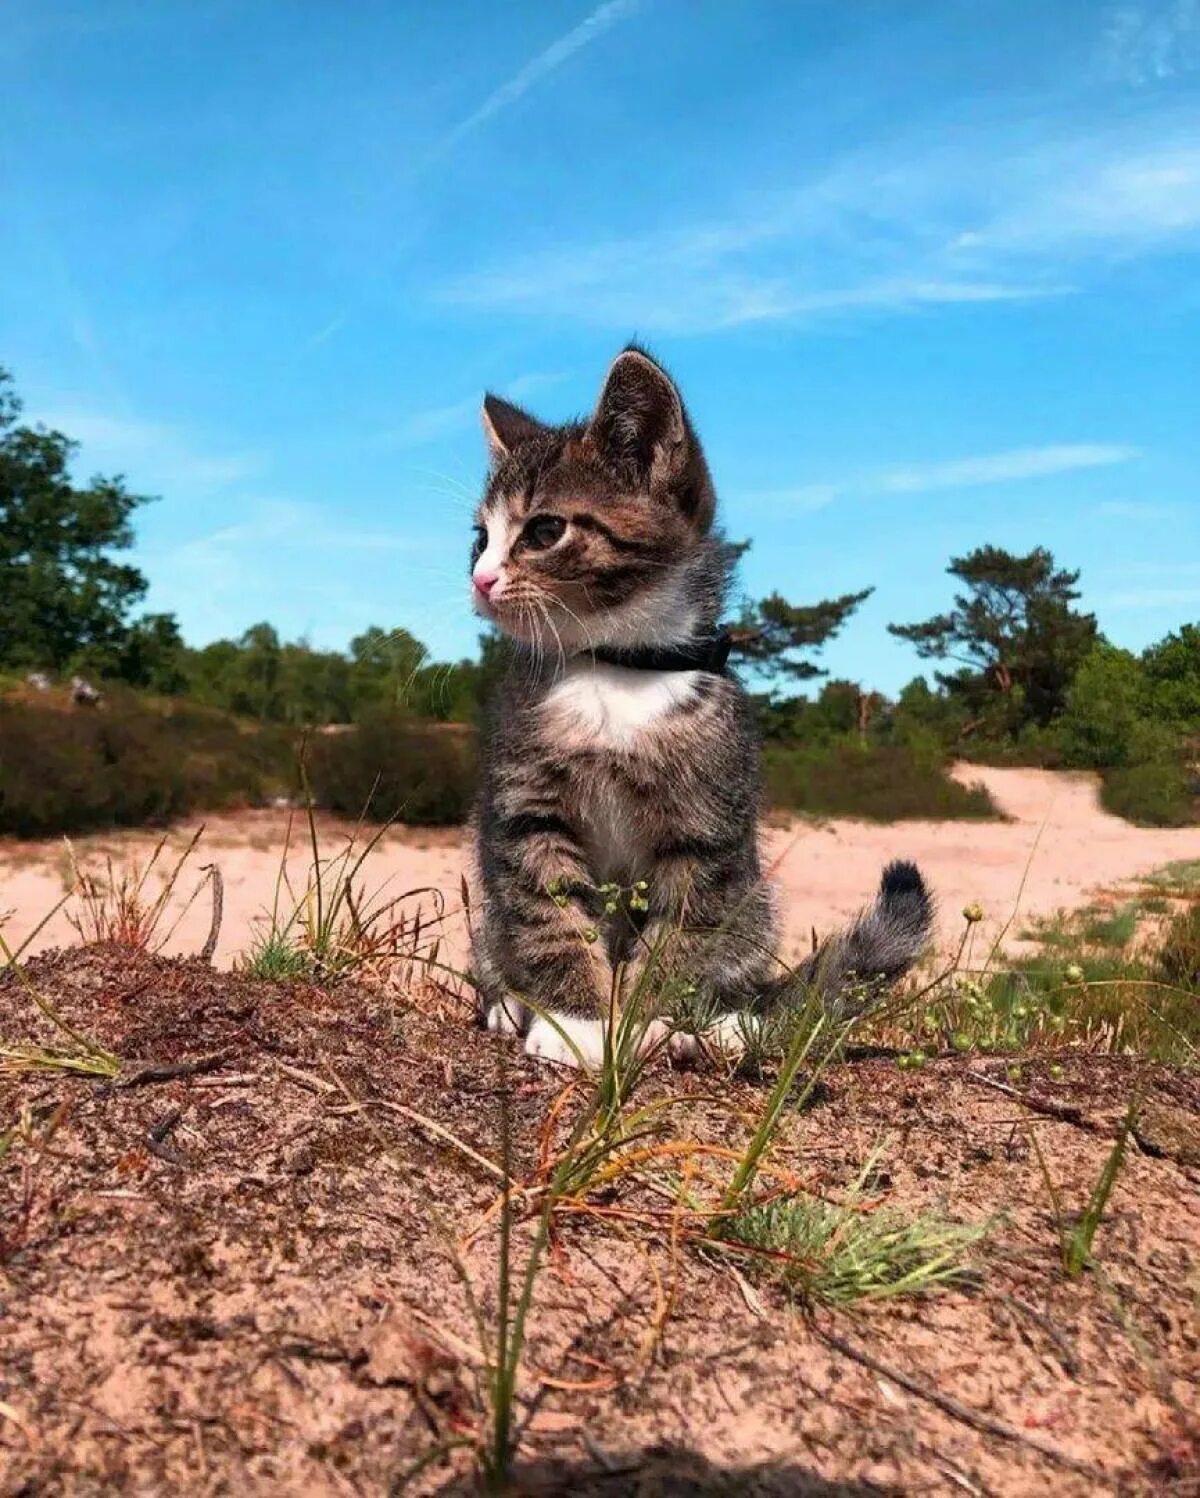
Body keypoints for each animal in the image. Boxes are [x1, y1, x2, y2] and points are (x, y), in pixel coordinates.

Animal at [464, 343, 928, 1066]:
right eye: (478, 538)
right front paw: (577, 1021)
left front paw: (648, 1019)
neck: (616, 668)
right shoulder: (524, 805)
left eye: (543, 530)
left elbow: (685, 927)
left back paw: (724, 1024)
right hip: (486, 907)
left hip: (755, 900)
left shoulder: (708, 822)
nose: (480, 579)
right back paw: (509, 1000)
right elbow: (548, 908)